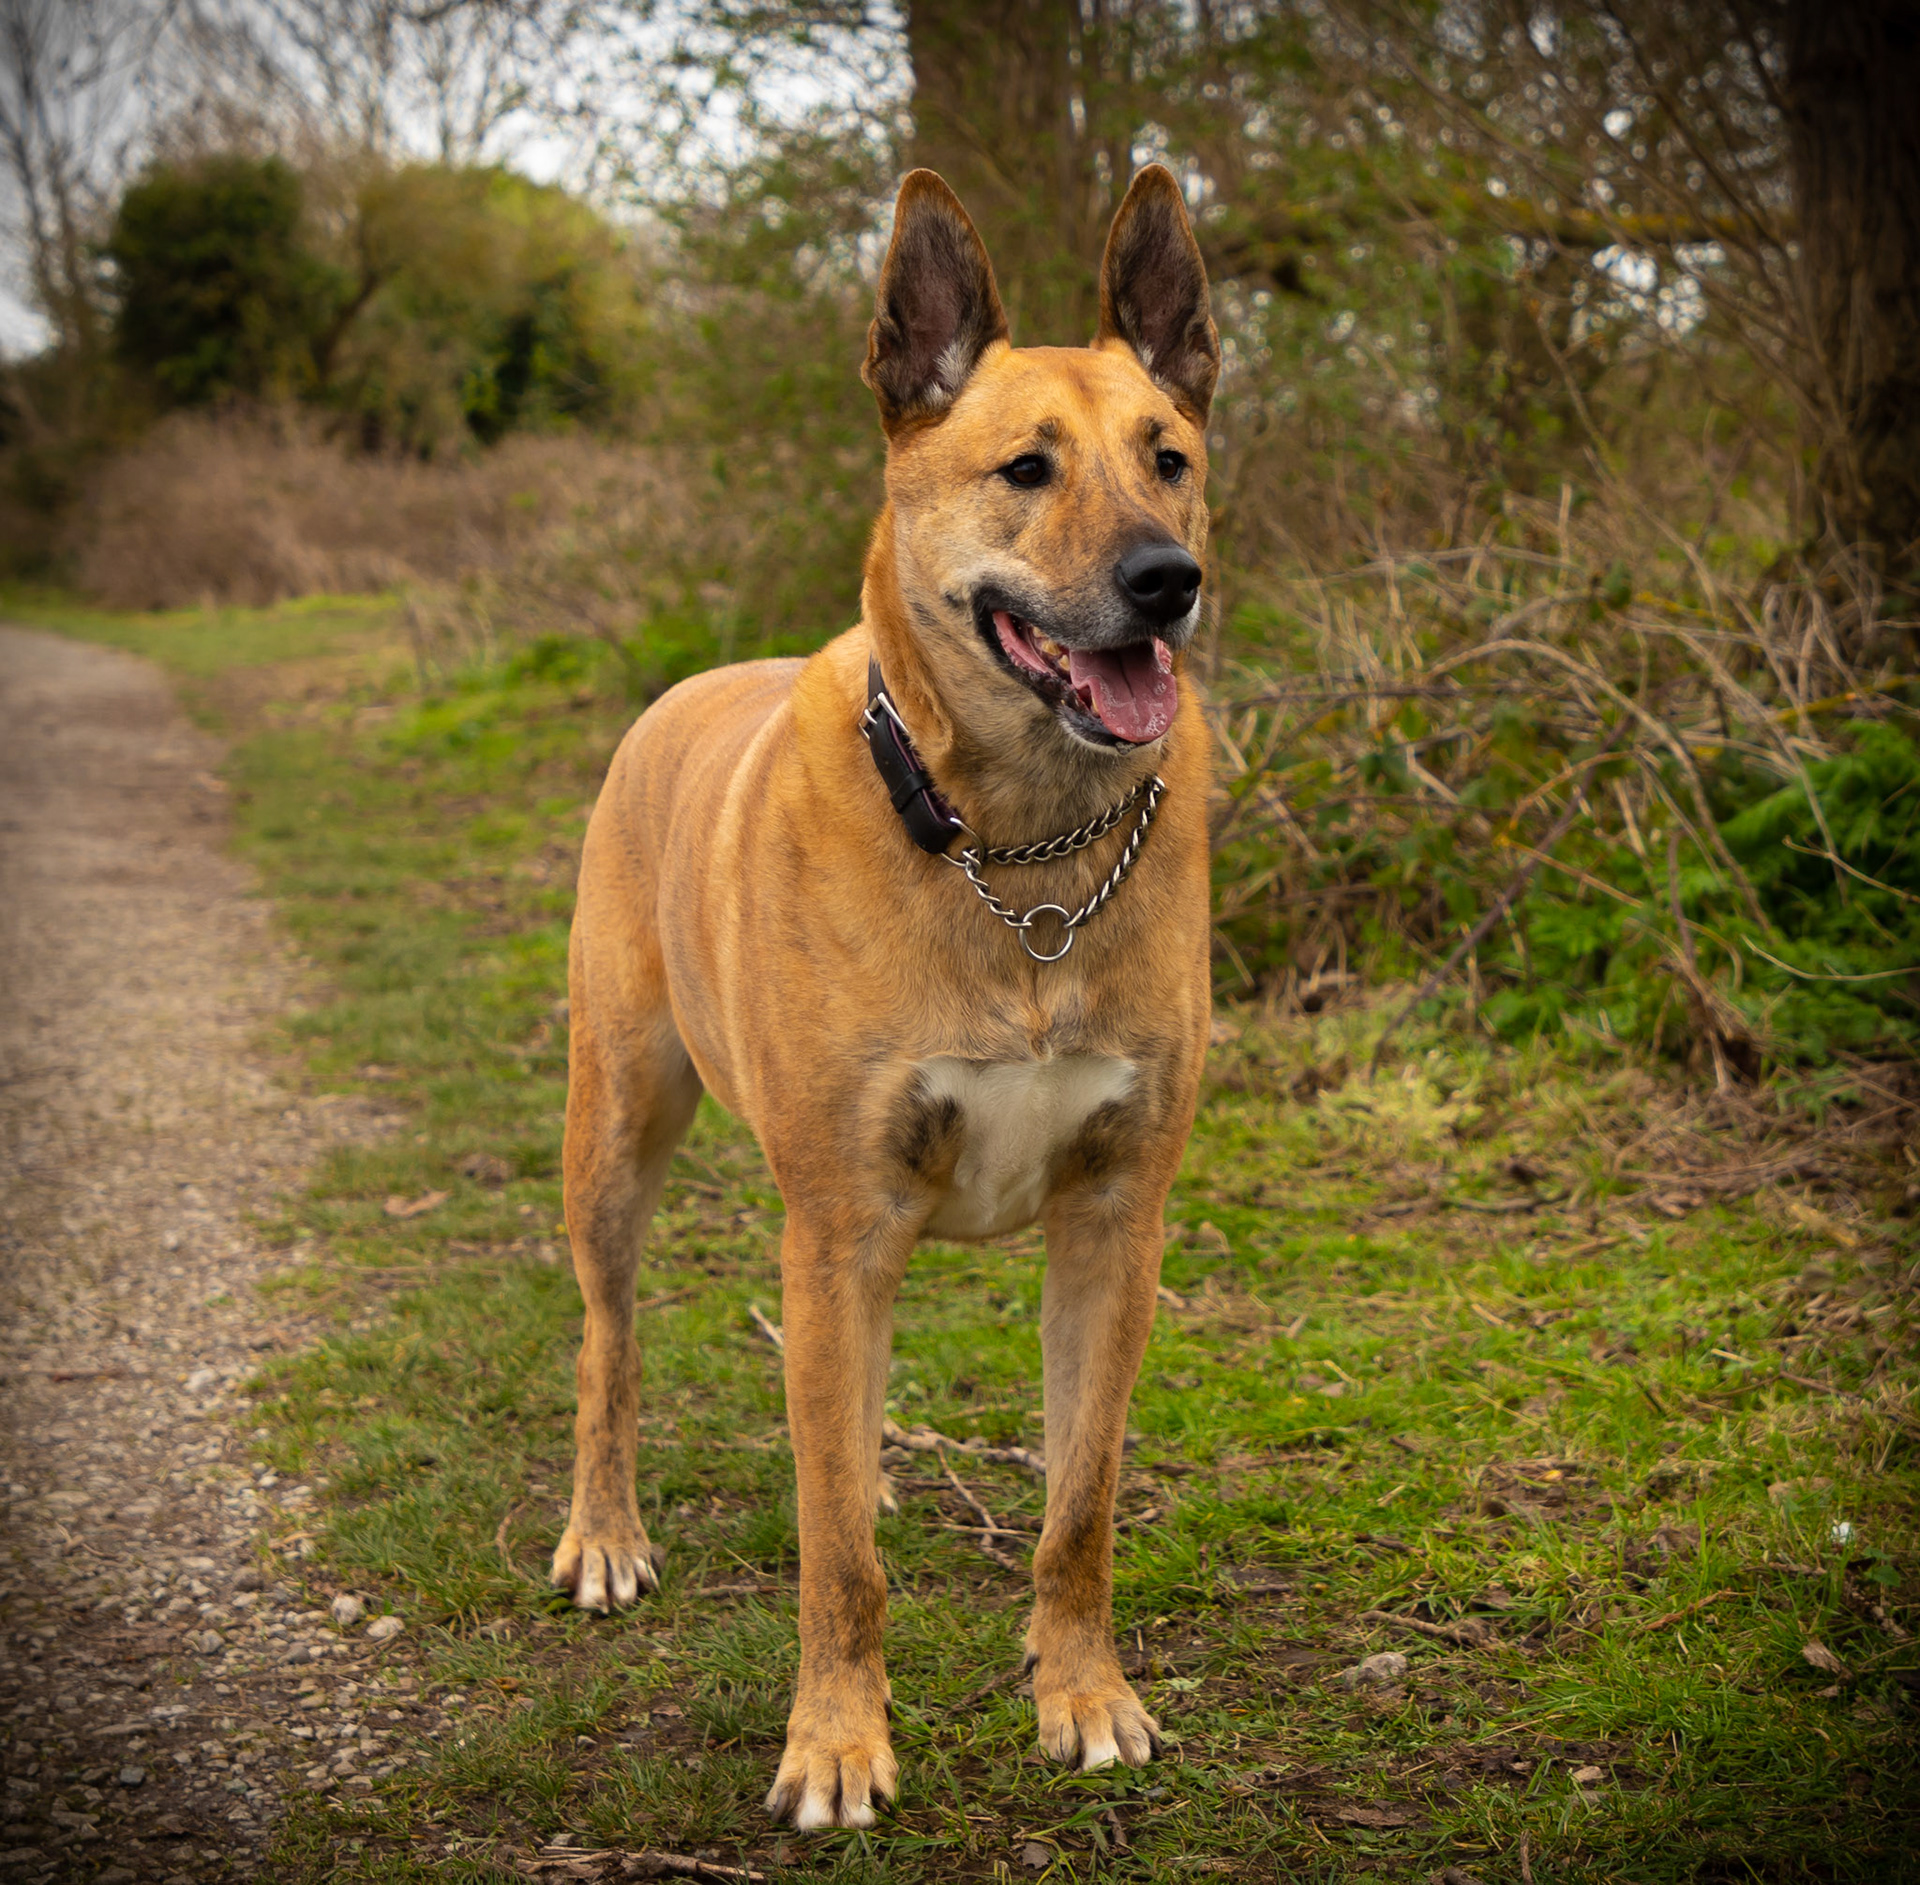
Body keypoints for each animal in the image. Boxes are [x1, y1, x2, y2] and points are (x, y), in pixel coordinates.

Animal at [551, 162, 1219, 1831]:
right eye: (1026, 469)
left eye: (1168, 460)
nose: (1167, 585)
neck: (1018, 850)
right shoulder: (841, 1219)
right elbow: (835, 1556)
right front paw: (839, 1740)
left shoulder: (1117, 1217)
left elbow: (1079, 1502)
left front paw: (1081, 1692)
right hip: (616, 1132)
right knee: (610, 1343)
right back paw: (605, 1530)